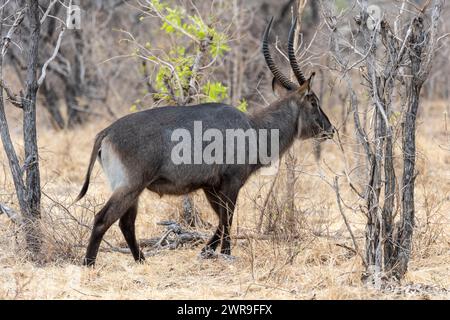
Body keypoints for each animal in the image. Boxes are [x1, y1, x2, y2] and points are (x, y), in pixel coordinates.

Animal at [75, 17, 334, 264]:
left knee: (126, 223)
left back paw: (141, 261)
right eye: (313, 101)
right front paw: (225, 254)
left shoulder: (210, 186)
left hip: (130, 189)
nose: (330, 129)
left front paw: (206, 251)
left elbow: (221, 220)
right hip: (130, 186)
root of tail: (107, 131)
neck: (253, 127)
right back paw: (89, 264)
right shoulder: (231, 182)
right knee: (103, 219)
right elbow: (228, 219)